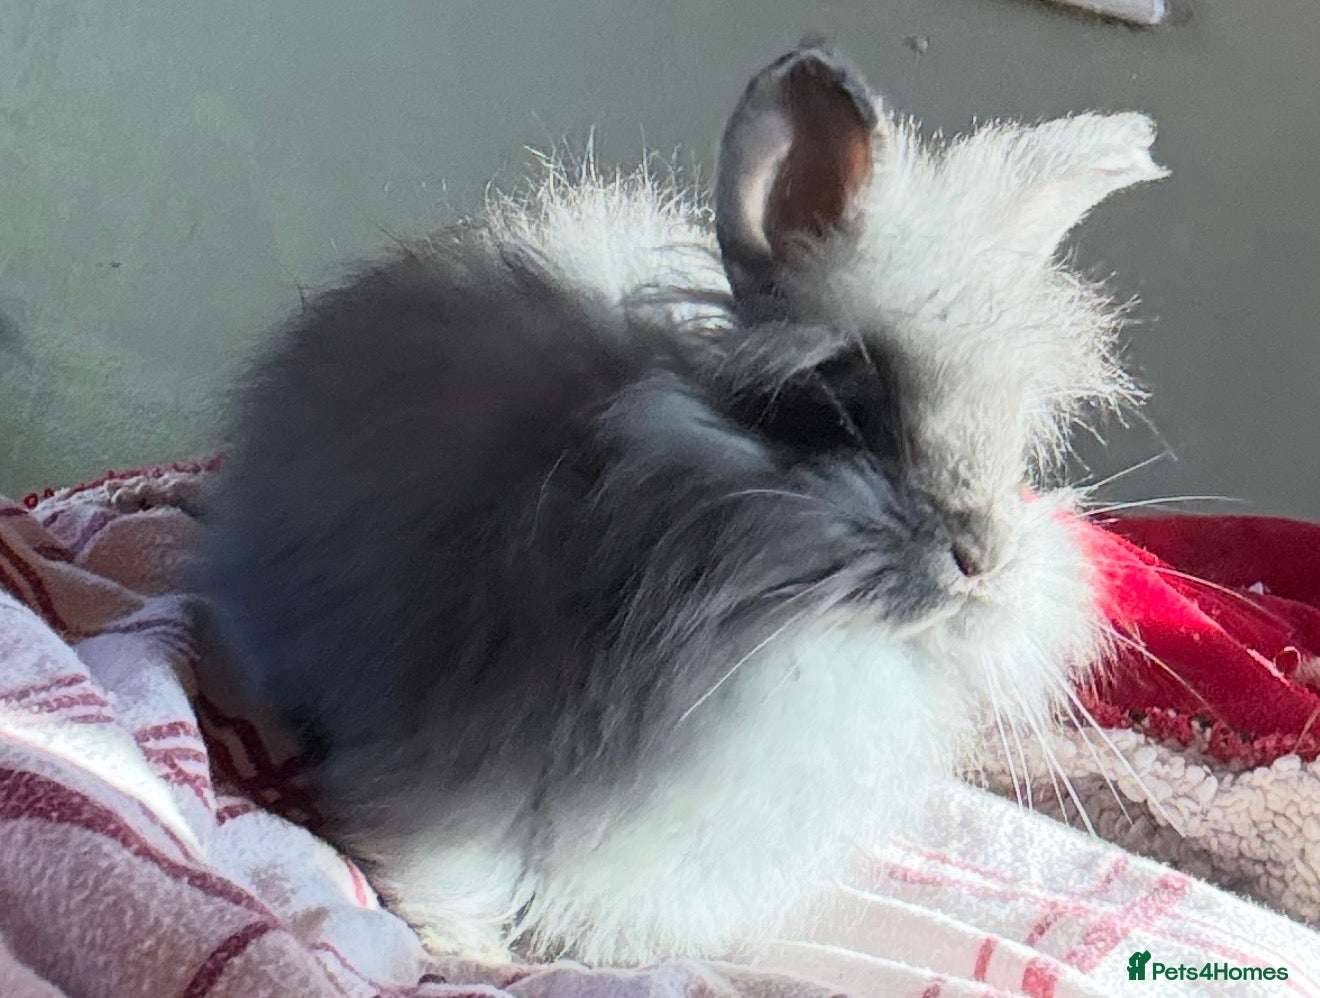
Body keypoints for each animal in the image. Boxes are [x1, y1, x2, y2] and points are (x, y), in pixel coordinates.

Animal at [196, 43, 1167, 966]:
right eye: (845, 413)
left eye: (1014, 451)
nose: (982, 559)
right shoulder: (455, 751)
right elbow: (446, 858)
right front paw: (465, 946)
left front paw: (598, 950)